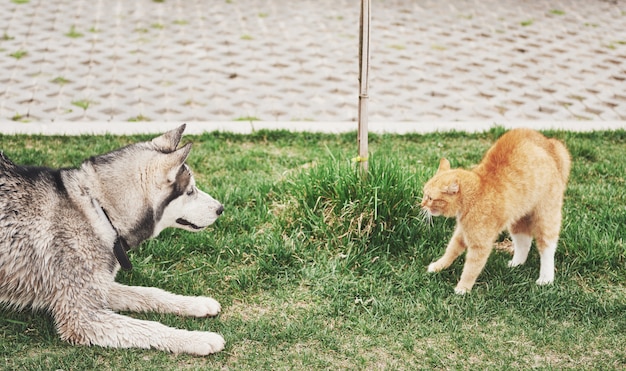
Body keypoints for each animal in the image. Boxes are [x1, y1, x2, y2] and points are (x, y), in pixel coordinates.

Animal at [0, 125, 224, 358]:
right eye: (190, 191)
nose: (221, 208)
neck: (100, 212)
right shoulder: (81, 318)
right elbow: (149, 327)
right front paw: (198, 338)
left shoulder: (100, 286)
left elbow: (149, 293)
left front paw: (195, 303)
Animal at [422, 129, 568, 294]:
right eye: (424, 194)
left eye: (430, 198)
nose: (421, 205)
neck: (477, 192)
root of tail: (550, 143)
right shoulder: (462, 234)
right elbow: (451, 250)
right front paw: (439, 266)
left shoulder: (480, 245)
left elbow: (471, 269)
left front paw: (463, 288)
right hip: (518, 218)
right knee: (524, 240)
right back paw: (516, 264)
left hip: (546, 217)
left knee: (547, 247)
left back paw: (546, 279)